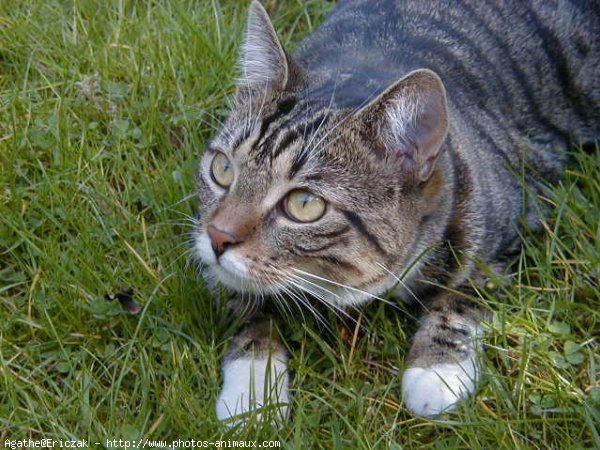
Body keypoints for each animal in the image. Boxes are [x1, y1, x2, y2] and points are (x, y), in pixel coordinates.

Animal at [195, 0, 596, 422]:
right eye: (222, 169)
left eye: (304, 204)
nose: (218, 236)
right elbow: (245, 305)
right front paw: (252, 390)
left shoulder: (516, 219)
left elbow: (465, 294)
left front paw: (437, 370)